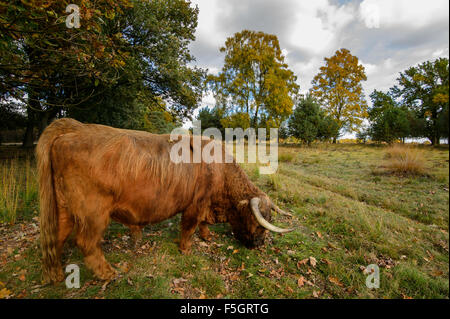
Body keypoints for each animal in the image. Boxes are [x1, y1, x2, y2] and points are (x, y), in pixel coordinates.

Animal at [37, 119, 292, 282]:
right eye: (258, 223)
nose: (259, 245)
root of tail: (75, 129)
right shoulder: (195, 204)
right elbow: (188, 228)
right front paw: (186, 250)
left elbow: (203, 225)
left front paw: (207, 237)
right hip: (93, 211)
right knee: (86, 242)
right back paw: (107, 273)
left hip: (64, 207)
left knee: (57, 236)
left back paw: (56, 274)